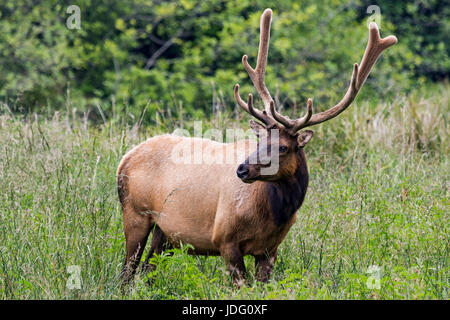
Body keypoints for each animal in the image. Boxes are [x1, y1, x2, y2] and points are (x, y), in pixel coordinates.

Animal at [117, 8, 398, 284]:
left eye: (283, 147)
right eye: (261, 140)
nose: (242, 169)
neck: (274, 214)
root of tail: (125, 158)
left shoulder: (270, 249)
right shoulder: (225, 239)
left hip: (165, 232)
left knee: (147, 270)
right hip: (135, 214)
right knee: (127, 271)